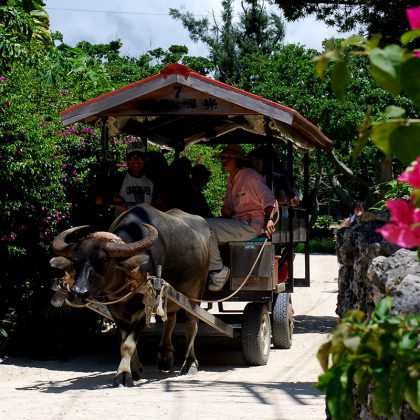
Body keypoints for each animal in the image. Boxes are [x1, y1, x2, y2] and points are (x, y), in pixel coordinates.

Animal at [50, 204, 210, 388]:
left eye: (103, 260)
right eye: (75, 261)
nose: (78, 291)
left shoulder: (143, 309)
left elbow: (128, 344)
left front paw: (123, 375)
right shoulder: (116, 310)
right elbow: (124, 340)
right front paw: (134, 370)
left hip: (195, 293)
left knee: (191, 326)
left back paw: (190, 363)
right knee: (170, 319)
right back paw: (165, 356)